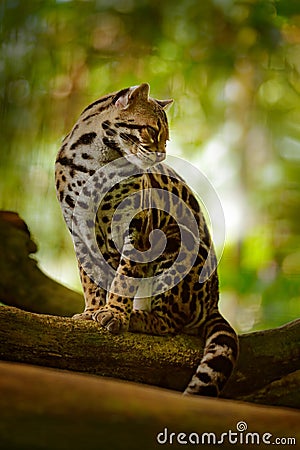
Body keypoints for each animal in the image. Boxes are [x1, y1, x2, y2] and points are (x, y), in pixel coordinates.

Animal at [55, 82, 239, 396]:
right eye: (152, 131)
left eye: (166, 137)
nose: (161, 156)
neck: (95, 159)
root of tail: (214, 303)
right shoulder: (79, 230)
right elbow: (90, 279)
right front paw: (92, 311)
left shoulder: (135, 225)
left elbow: (124, 277)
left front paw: (115, 313)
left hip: (177, 245)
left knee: (170, 323)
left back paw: (137, 317)